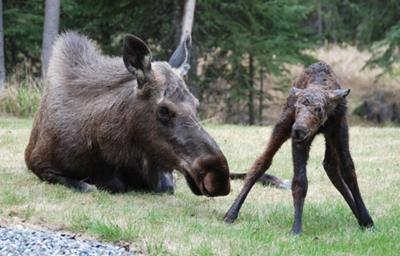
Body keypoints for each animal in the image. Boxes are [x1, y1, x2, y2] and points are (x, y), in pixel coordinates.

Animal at [25, 32, 288, 196]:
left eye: (197, 104)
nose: (217, 177)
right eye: (163, 109)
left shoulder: (162, 171)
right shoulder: (38, 163)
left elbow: (164, 186)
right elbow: (86, 185)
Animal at [225, 62, 376, 234]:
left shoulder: (339, 129)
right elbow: (300, 181)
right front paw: (296, 228)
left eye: (318, 109)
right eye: (297, 107)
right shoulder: (299, 139)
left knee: (330, 165)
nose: (298, 130)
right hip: (283, 124)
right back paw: (231, 212)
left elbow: (349, 171)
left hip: (329, 138)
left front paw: (367, 220)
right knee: (262, 162)